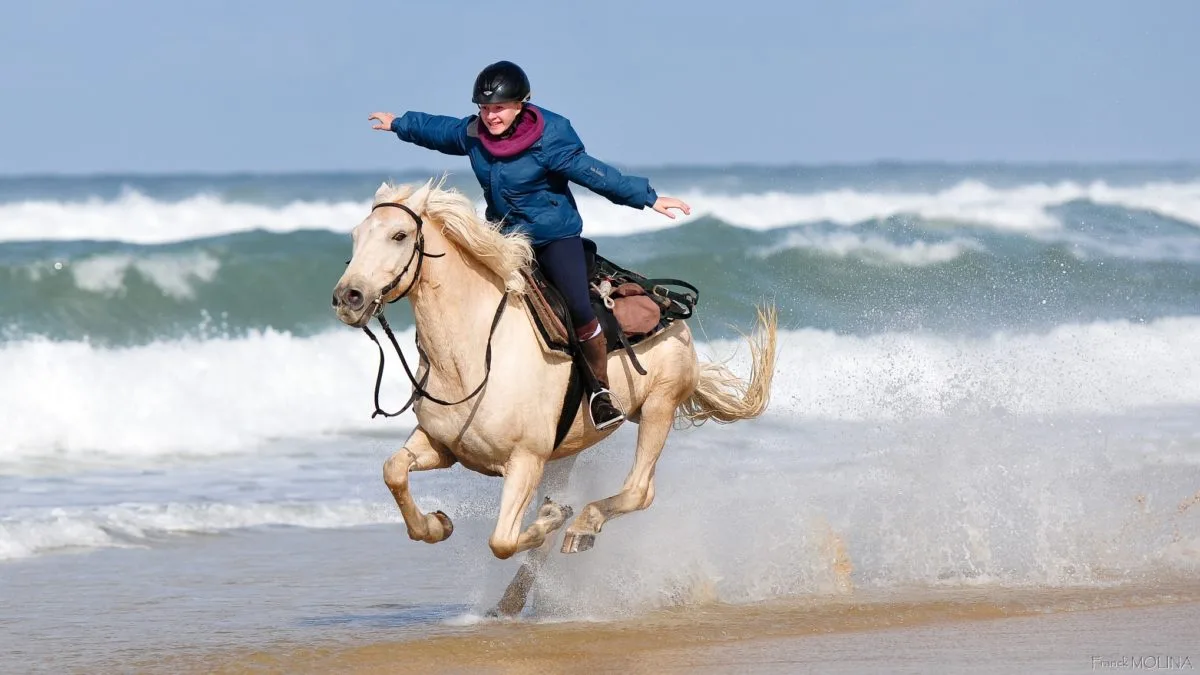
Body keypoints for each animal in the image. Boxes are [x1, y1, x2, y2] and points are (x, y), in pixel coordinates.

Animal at [331, 176, 777, 612]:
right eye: (355, 236)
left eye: (400, 235)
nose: (347, 298)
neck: (475, 353)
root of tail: (670, 304)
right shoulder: (443, 447)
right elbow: (393, 471)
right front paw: (437, 524)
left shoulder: (525, 460)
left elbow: (502, 540)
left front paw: (550, 517)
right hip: (567, 452)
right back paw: (510, 601)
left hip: (658, 407)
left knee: (639, 490)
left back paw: (580, 526)